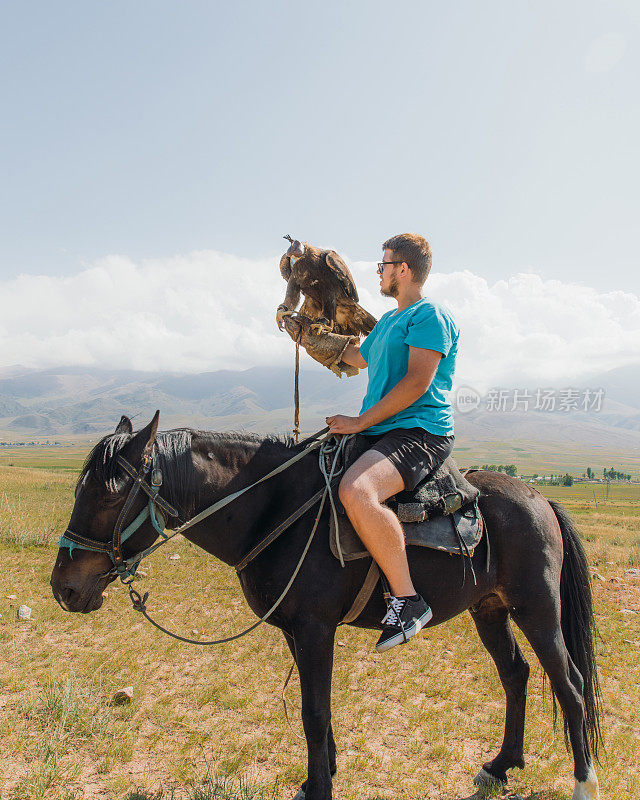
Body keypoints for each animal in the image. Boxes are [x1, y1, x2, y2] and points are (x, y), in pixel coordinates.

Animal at [48, 416, 600, 796]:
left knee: (570, 685)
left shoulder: (315, 629)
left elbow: (313, 712)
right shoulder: (294, 631)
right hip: (489, 609)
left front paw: (318, 788)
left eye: (107, 496)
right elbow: (319, 710)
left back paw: (582, 780)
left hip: (537, 609)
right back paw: (503, 764)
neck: (275, 510)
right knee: (516, 674)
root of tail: (540, 500)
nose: (63, 588)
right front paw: (326, 772)